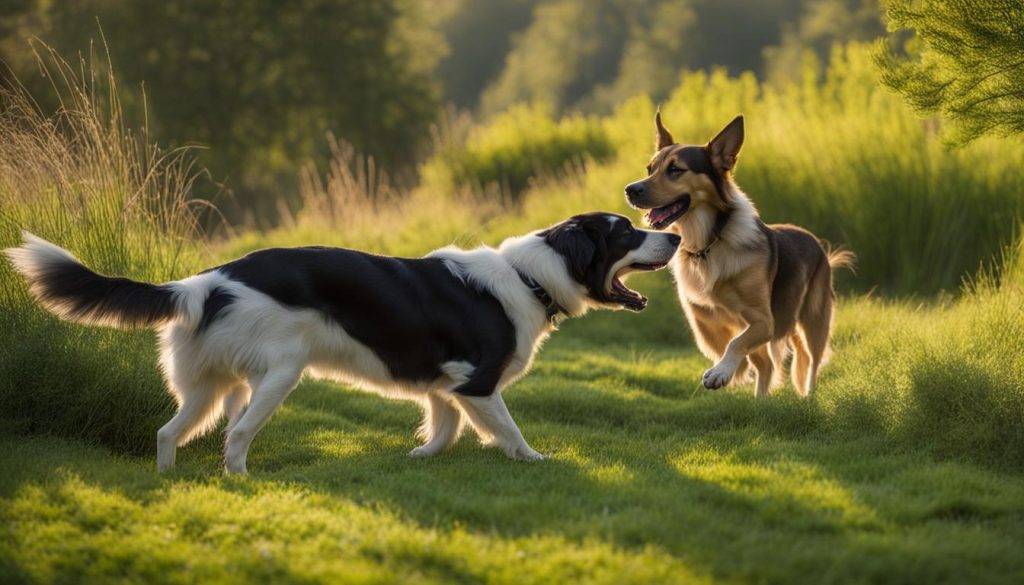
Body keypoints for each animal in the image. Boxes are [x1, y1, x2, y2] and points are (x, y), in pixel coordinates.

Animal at [8, 213, 684, 473]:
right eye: (625, 233)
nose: (674, 237)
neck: (529, 276)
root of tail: (204, 280)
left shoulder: (444, 383)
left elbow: (443, 426)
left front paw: (420, 458)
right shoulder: (478, 380)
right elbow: (508, 431)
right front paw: (536, 460)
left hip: (210, 387)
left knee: (167, 432)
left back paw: (169, 482)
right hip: (277, 376)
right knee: (236, 435)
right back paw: (241, 482)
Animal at [622, 113, 856, 397]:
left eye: (676, 170)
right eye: (650, 169)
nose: (630, 190)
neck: (708, 243)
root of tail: (819, 247)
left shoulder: (765, 321)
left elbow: (736, 341)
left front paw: (721, 372)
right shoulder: (701, 314)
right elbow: (719, 340)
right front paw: (731, 369)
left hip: (814, 321)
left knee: (811, 363)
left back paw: (807, 396)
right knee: (766, 365)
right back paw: (760, 400)